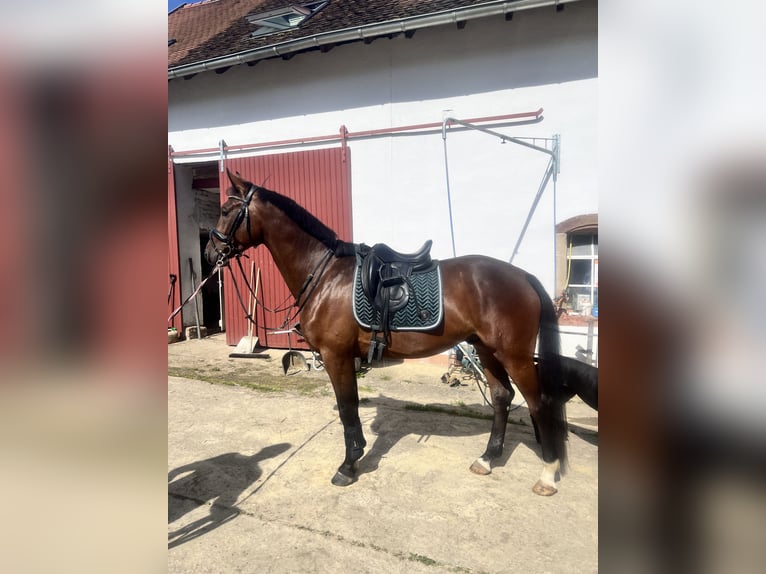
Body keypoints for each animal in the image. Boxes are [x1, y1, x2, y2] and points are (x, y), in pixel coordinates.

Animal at [207, 169, 572, 498]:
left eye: (225, 210)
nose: (211, 253)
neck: (326, 275)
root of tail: (523, 276)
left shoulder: (336, 356)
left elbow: (347, 408)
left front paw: (348, 466)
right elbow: (350, 408)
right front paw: (355, 456)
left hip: (514, 355)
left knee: (539, 403)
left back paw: (548, 475)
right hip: (486, 349)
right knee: (501, 397)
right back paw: (487, 458)